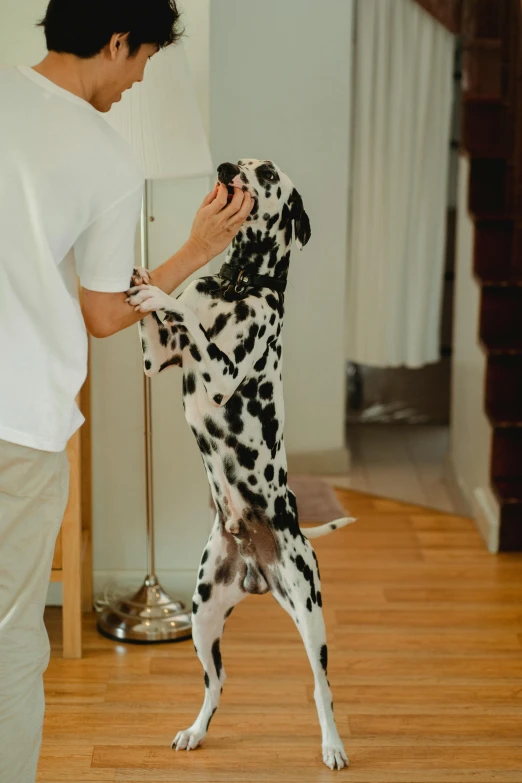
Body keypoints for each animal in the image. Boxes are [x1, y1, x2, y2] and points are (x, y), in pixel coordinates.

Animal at [126, 159, 354, 772]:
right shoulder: (157, 359)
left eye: (267, 172)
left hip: (310, 617)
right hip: (204, 616)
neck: (236, 285)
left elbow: (183, 313)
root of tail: (256, 563)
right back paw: (195, 731)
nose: (226, 168)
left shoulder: (221, 374)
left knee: (321, 689)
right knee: (217, 683)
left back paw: (333, 745)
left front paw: (157, 288)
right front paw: (142, 275)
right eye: (243, 161)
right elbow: (165, 318)